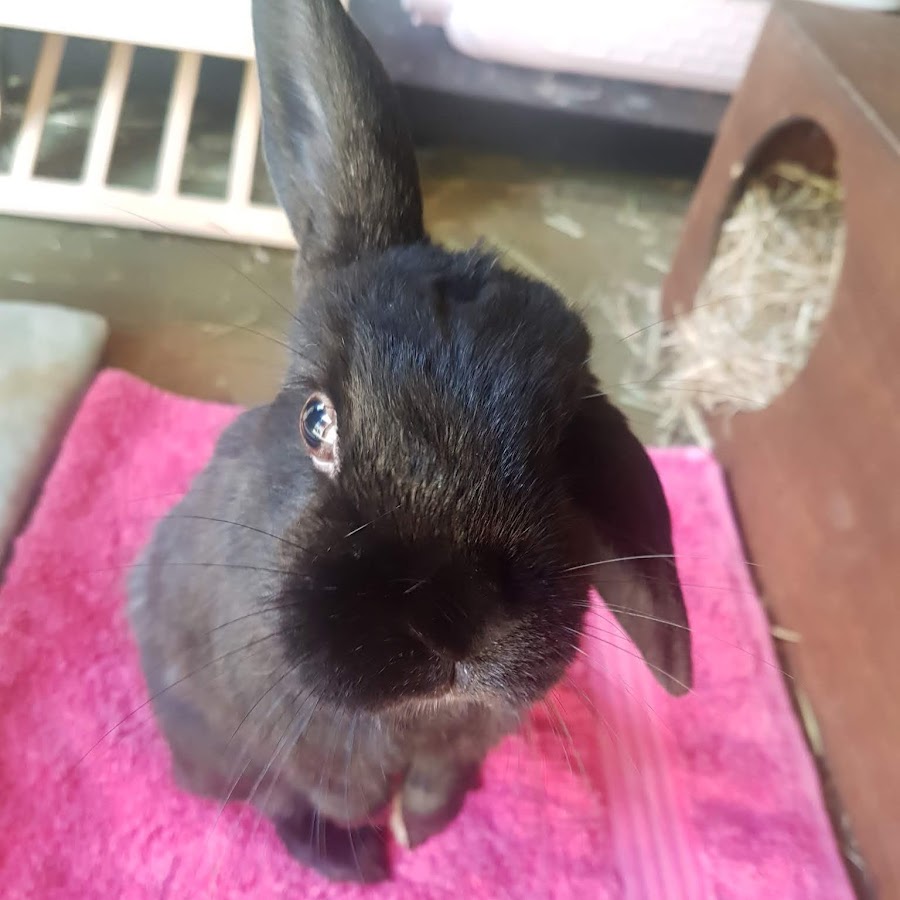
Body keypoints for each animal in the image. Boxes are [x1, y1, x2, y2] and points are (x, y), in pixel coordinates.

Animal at [126, 0, 693, 884]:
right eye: (316, 422)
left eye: (563, 448)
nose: (452, 612)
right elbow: (321, 784)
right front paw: (370, 834)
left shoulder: (460, 744)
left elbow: (438, 777)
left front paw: (423, 830)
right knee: (265, 798)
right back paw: (346, 860)